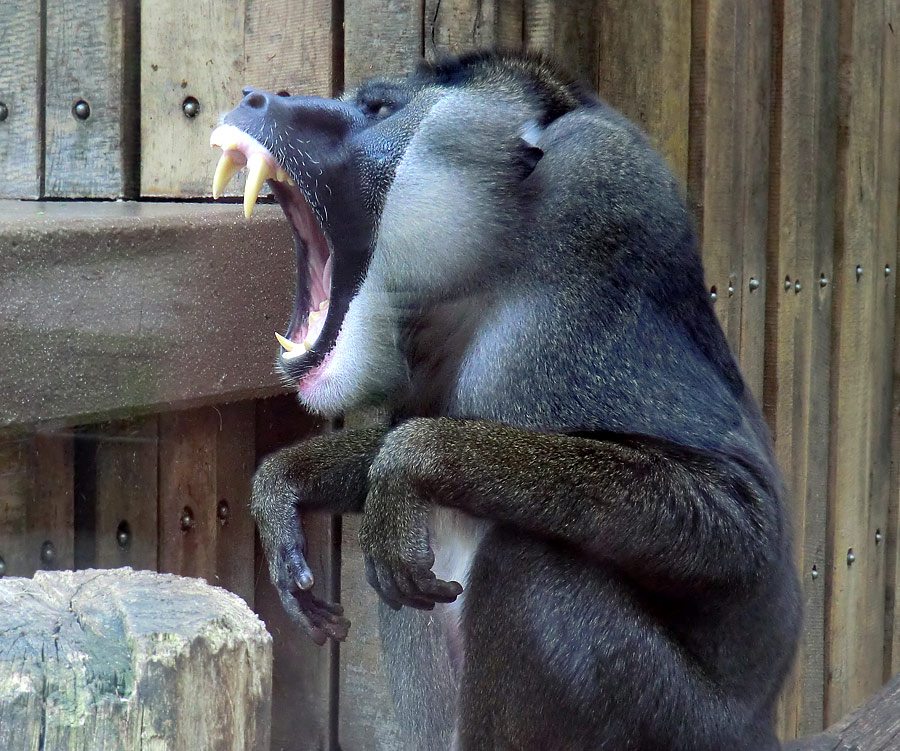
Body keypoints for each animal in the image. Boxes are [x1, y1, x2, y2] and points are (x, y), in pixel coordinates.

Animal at [213, 54, 800, 751]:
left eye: (380, 109)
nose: (255, 98)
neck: (495, 256)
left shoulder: (589, 258)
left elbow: (743, 525)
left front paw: (414, 460)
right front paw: (286, 481)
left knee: (531, 567)